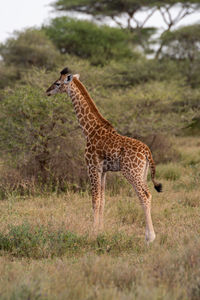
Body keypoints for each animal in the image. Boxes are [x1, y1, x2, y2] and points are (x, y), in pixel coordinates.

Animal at [46, 67, 162, 243]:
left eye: (58, 83)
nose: (47, 91)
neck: (89, 129)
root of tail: (147, 151)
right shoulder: (103, 170)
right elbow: (103, 200)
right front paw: (100, 230)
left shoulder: (92, 167)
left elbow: (95, 200)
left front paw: (93, 232)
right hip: (142, 173)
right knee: (147, 193)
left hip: (131, 172)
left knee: (144, 196)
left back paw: (150, 237)